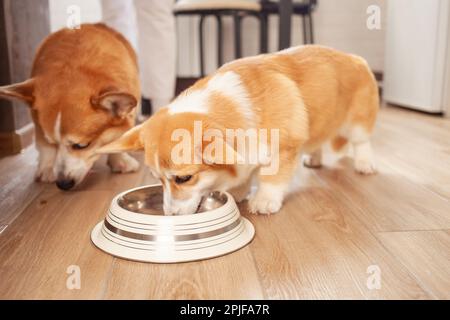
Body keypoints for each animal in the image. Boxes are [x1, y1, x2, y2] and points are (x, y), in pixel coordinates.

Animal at [0, 24, 141, 190]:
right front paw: (47, 168)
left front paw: (120, 160)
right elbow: (43, 144)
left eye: (82, 146)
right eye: (53, 143)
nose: (63, 184)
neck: (73, 68)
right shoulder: (38, 124)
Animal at [100, 45, 378, 215]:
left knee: (362, 143)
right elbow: (244, 175)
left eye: (184, 178)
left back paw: (364, 164)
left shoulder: (284, 148)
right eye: (157, 179)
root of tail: (354, 57)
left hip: (358, 122)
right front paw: (238, 192)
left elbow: (271, 179)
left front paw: (264, 201)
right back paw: (315, 159)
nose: (170, 215)